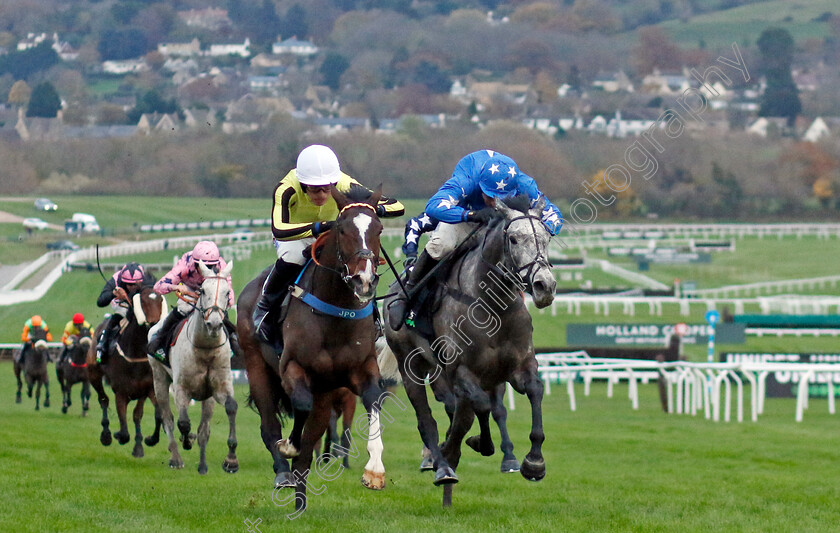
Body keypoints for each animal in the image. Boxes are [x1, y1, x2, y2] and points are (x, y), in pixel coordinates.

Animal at [89, 286, 167, 458]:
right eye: (143, 301)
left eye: (160, 300)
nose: (155, 323)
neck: (135, 353)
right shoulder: (121, 392)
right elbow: (124, 429)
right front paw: (118, 435)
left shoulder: (148, 389)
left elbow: (148, 414)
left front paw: (147, 441)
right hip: (94, 375)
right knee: (103, 400)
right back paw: (106, 435)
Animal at [240, 185, 390, 510]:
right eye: (343, 229)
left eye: (379, 228)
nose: (364, 279)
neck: (336, 310)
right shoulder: (293, 368)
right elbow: (300, 407)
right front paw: (288, 445)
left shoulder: (361, 370)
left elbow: (373, 399)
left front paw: (374, 470)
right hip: (256, 365)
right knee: (270, 425)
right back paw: (283, 473)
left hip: (325, 392)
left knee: (308, 452)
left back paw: (300, 505)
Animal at [382, 194, 556, 502]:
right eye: (513, 238)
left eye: (547, 237)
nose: (544, 285)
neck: (493, 306)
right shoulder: (463, 370)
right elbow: (481, 405)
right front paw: (472, 445)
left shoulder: (519, 365)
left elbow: (533, 391)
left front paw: (533, 462)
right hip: (409, 365)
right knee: (427, 419)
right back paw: (441, 465)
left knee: (456, 407)